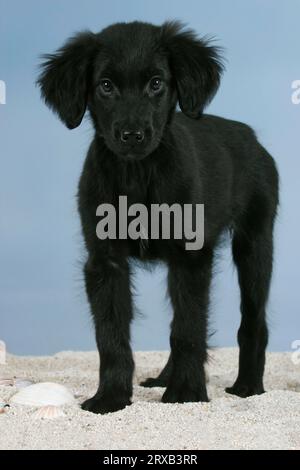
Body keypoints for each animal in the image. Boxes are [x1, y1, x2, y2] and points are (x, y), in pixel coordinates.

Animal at [38, 20, 278, 414]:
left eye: (156, 83)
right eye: (106, 86)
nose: (132, 135)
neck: (138, 176)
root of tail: (249, 134)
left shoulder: (191, 257)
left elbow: (189, 328)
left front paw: (187, 392)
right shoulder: (105, 262)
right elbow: (111, 335)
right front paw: (111, 397)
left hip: (255, 244)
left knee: (253, 320)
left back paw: (248, 385)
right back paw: (165, 377)